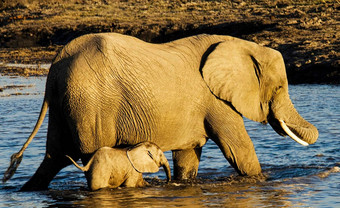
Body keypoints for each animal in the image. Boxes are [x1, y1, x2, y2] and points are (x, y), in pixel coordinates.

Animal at [3, 32, 318, 190]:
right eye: (279, 88)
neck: (242, 45)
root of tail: (54, 67)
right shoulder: (216, 102)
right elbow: (239, 151)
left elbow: (189, 157)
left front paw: (180, 184)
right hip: (90, 105)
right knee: (84, 156)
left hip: (66, 103)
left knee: (53, 158)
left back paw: (27, 191)